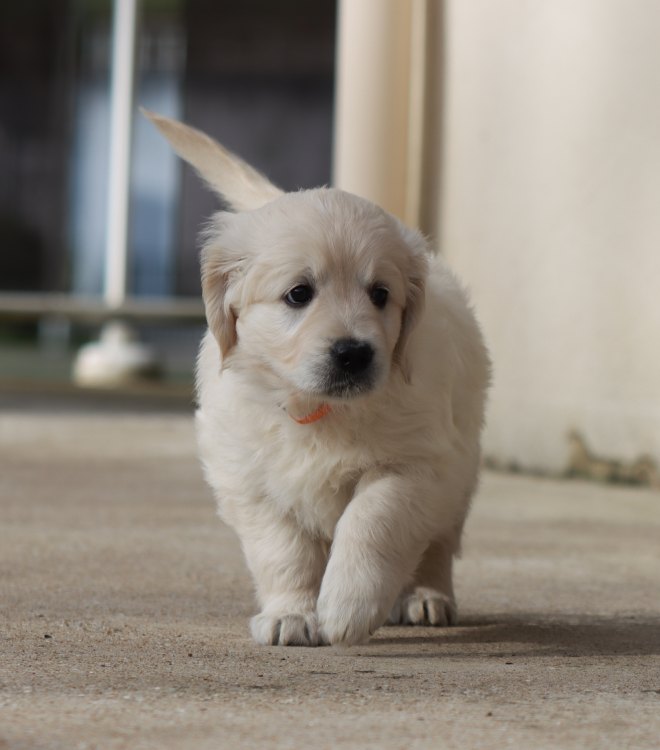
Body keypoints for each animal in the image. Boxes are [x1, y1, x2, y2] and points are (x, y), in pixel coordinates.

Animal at [145, 110, 491, 647]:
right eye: (298, 293)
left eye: (380, 294)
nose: (353, 353)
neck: (318, 410)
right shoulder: (248, 477)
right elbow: (283, 550)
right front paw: (291, 613)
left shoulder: (416, 463)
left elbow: (372, 522)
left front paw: (349, 606)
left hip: (459, 472)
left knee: (437, 543)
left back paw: (425, 597)